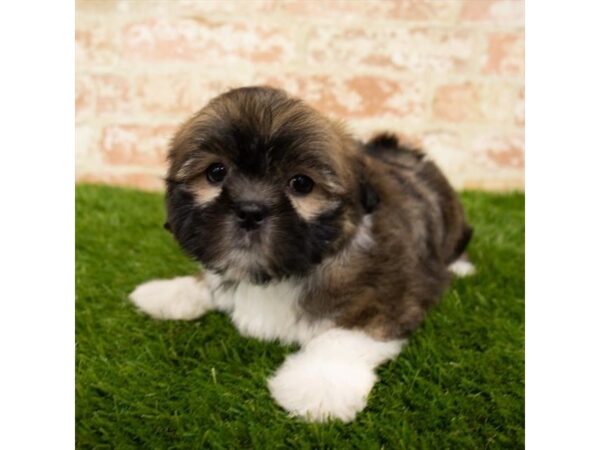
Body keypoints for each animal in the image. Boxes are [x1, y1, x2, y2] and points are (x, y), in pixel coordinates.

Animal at [130, 86, 474, 424]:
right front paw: (168, 292)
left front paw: (319, 384)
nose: (250, 210)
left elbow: (345, 334)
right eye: (216, 172)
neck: (285, 272)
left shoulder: (394, 292)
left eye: (301, 184)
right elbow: (209, 279)